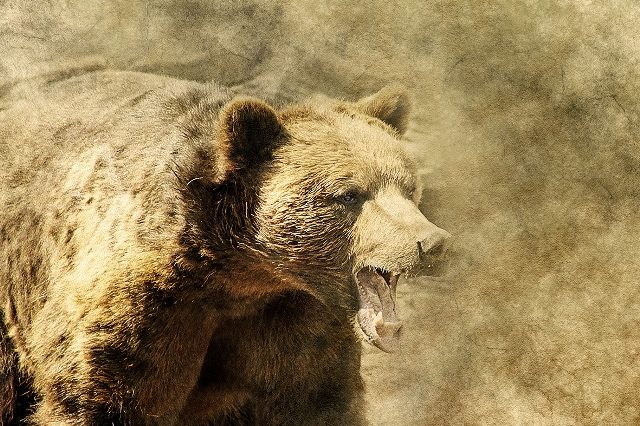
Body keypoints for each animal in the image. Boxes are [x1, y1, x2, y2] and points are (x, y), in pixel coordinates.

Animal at [0, 68, 451, 425]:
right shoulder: (141, 309)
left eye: (408, 187)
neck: (240, 274)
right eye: (350, 195)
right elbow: (98, 398)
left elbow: (315, 399)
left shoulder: (292, 323)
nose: (431, 242)